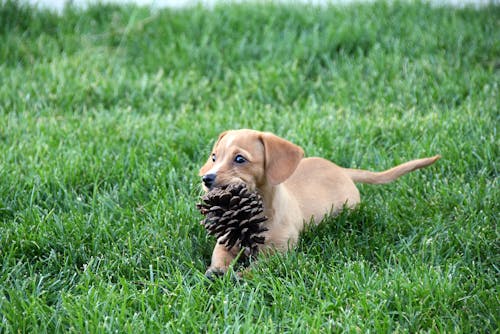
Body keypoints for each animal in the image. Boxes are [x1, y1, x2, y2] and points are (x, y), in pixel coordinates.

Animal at [197, 129, 440, 276]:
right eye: (214, 157)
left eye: (240, 159)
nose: (206, 179)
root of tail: (342, 170)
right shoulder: (225, 241)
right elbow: (219, 256)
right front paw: (216, 271)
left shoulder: (278, 254)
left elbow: (257, 268)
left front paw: (238, 275)